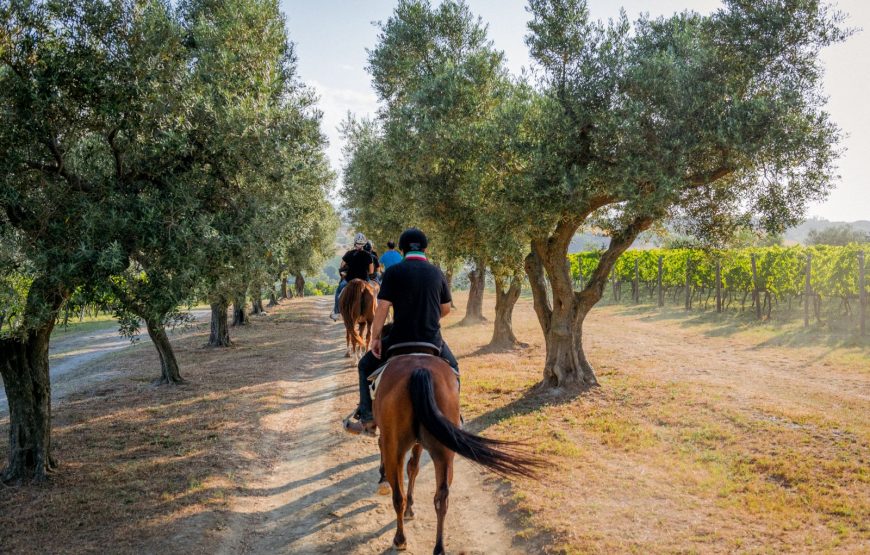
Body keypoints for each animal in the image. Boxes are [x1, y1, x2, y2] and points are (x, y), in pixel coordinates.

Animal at [372, 350, 540, 552]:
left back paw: (400, 539)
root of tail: (419, 370)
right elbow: (413, 468)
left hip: (395, 448)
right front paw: (411, 508)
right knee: (441, 497)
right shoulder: (418, 444)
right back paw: (439, 547)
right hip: (443, 453)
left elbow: (408, 468)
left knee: (398, 496)